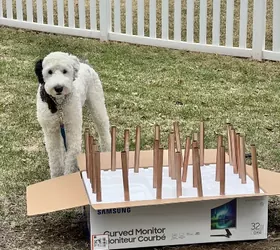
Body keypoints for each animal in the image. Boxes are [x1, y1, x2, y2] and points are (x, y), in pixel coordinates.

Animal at [34, 51, 110, 179]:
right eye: (49, 71)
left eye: (65, 71)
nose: (58, 88)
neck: (59, 104)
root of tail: (84, 63)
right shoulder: (50, 131)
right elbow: (55, 157)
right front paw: (57, 177)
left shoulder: (73, 129)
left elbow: (71, 155)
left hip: (97, 103)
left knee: (103, 127)